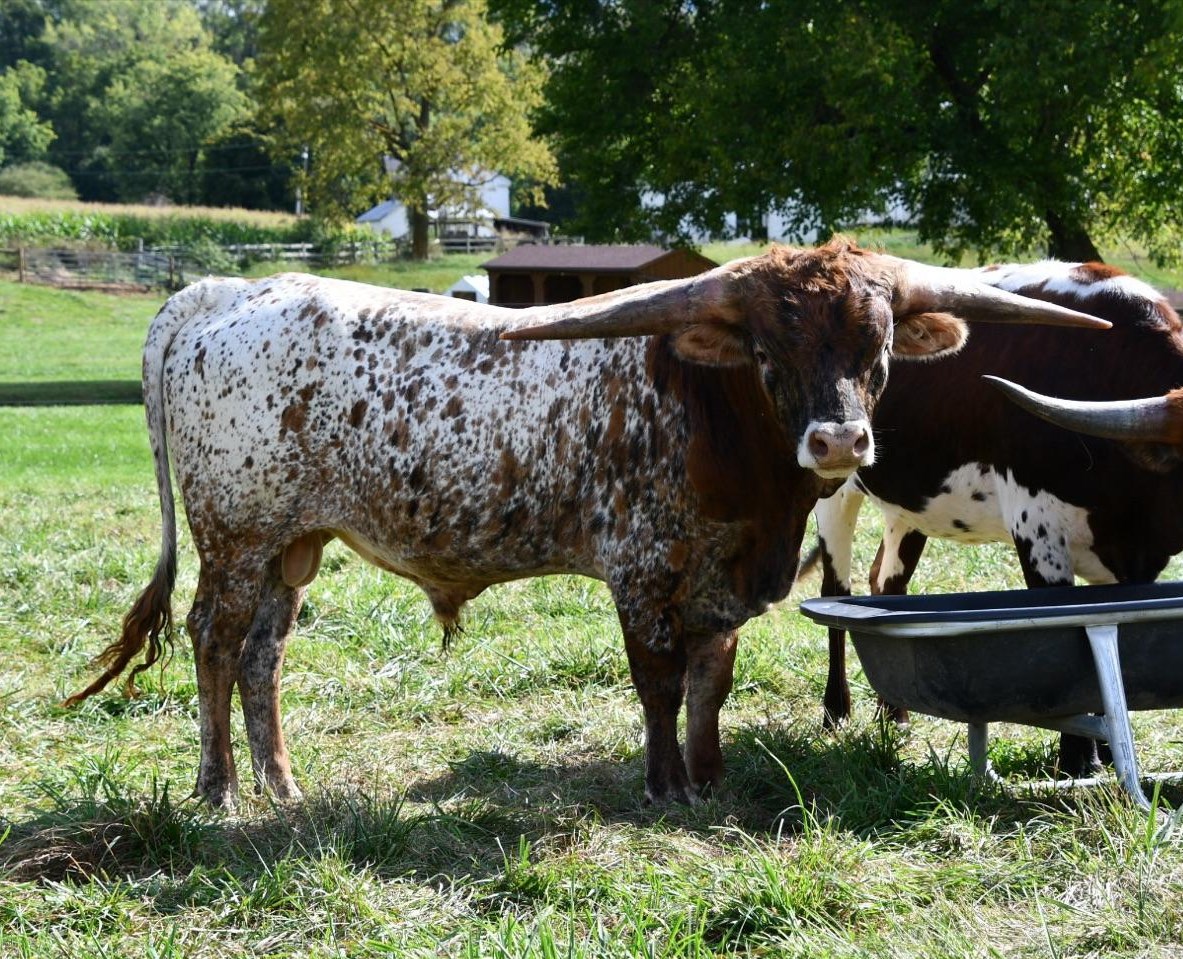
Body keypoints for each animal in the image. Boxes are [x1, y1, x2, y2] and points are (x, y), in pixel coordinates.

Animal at [64, 239, 1107, 809]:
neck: (707, 410)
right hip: (238, 534)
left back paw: (281, 784)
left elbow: (710, 679)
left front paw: (709, 774)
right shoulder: (641, 569)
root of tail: (225, 293)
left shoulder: (722, 575)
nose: (839, 439)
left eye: (879, 343)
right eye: (767, 347)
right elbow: (657, 680)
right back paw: (218, 788)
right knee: (213, 639)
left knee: (261, 655)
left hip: (293, 544)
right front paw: (663, 785)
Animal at [810, 260, 1180, 776]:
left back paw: (895, 716)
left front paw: (1106, 753)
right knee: (834, 590)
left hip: (911, 505)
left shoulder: (1138, 560)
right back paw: (835, 712)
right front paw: (1077, 763)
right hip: (834, 489)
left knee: (887, 583)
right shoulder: (1038, 531)